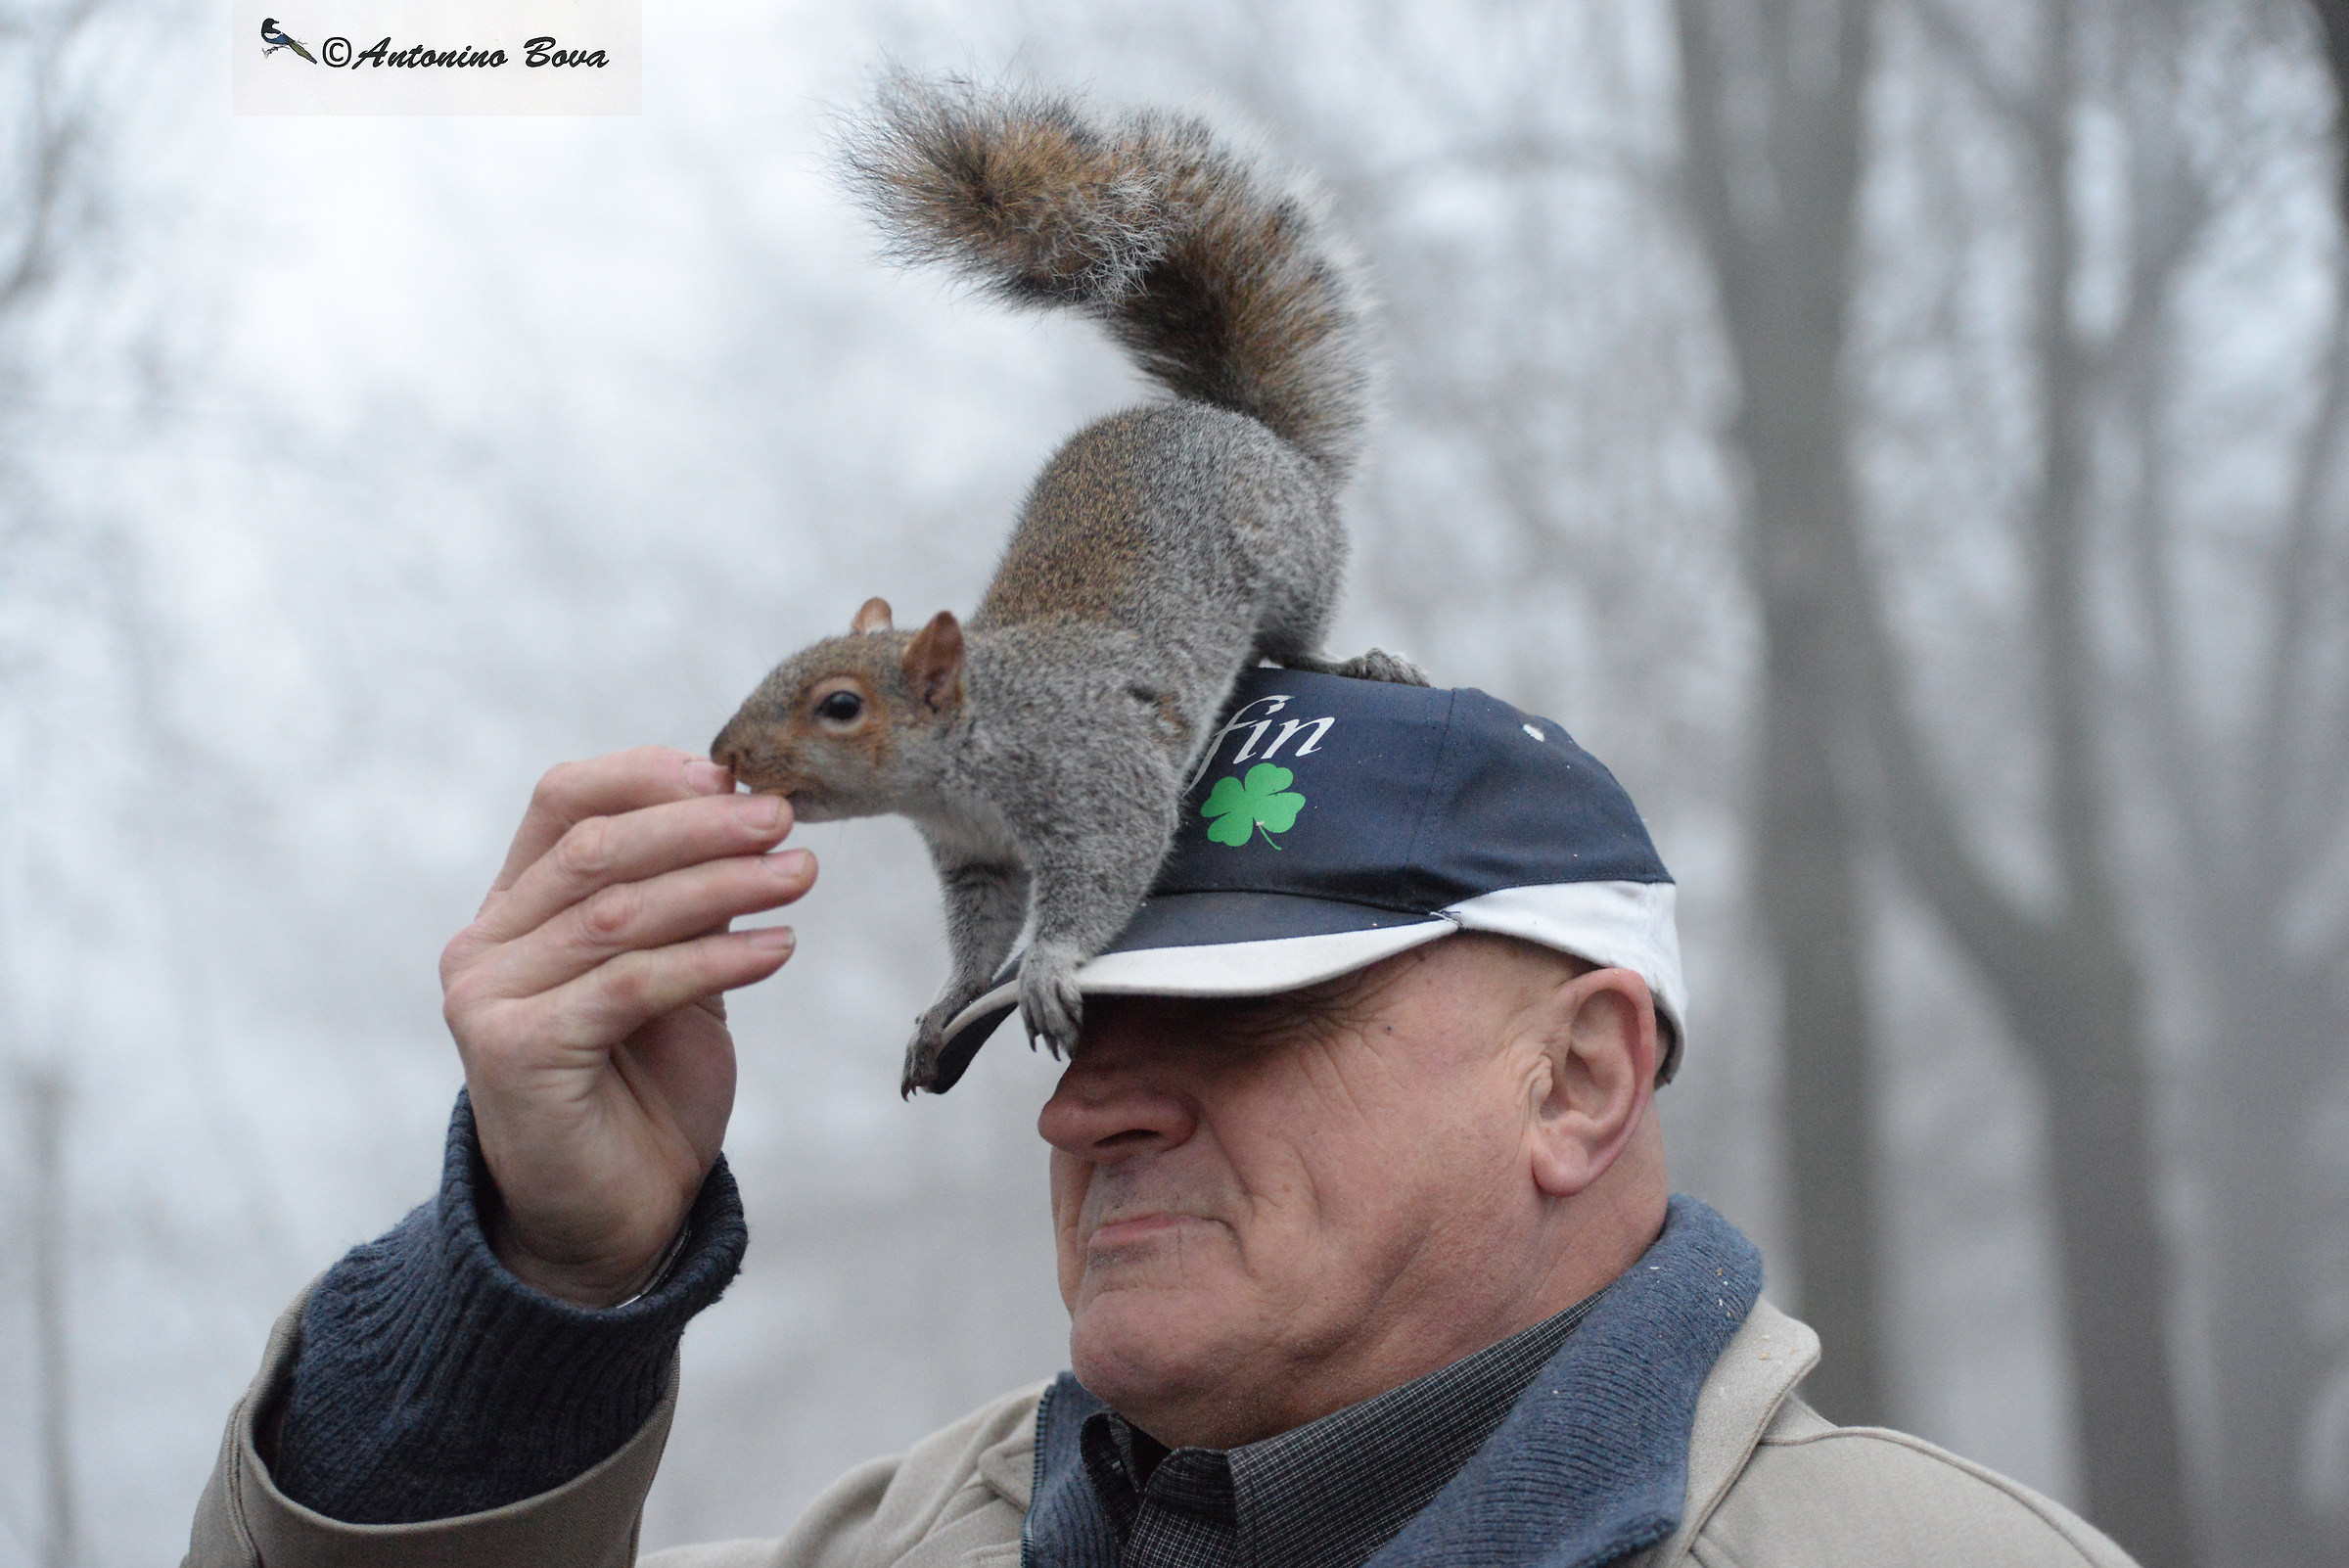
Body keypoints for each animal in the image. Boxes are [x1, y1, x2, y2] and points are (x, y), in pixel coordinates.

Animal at [710, 72, 1427, 1096]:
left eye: (839, 707)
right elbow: (979, 939)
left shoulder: (1095, 775)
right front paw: (944, 1004)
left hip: (1289, 558)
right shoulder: (975, 860)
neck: (973, 752)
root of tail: (1241, 424)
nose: (725, 756)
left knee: (1299, 637)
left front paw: (1047, 969)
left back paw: (1359, 657)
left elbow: (1105, 872)